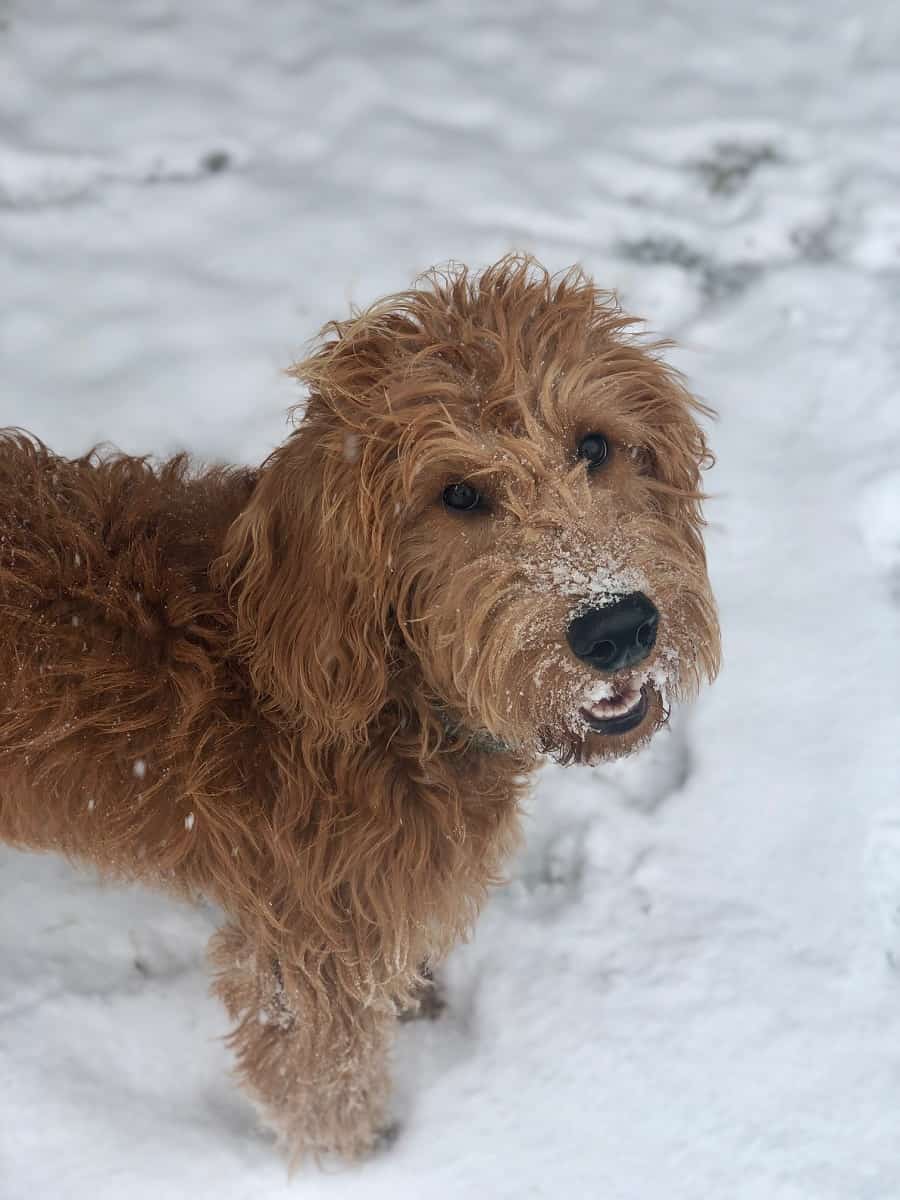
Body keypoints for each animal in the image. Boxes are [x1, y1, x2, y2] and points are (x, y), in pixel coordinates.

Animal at [0, 255, 724, 1161]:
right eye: (458, 496)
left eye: (595, 446)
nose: (618, 627)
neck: (390, 694)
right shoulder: (308, 946)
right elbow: (324, 1079)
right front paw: (359, 1160)